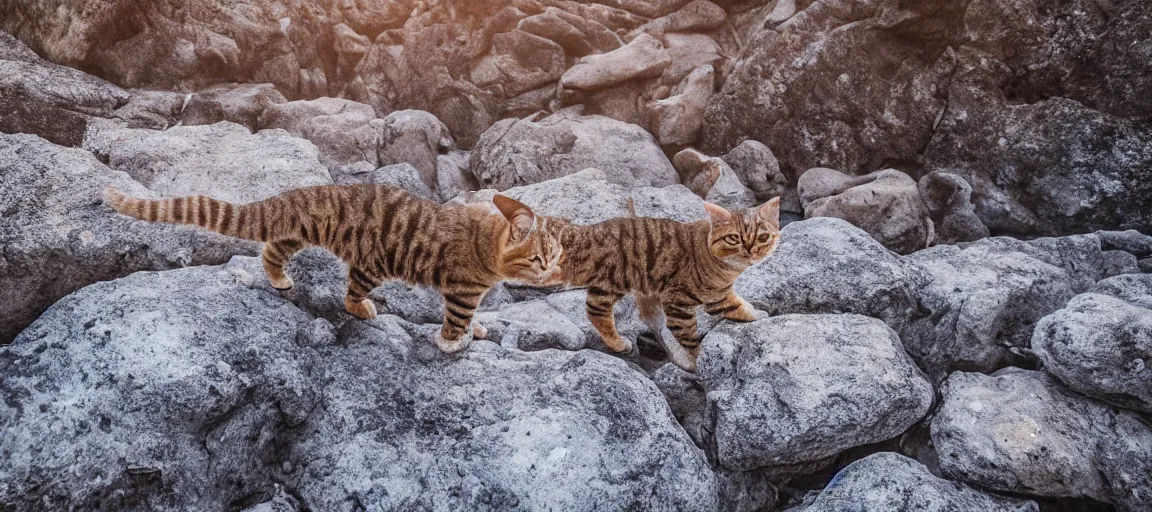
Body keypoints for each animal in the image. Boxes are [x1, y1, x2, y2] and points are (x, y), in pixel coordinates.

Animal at [105, 185, 564, 352]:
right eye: (538, 259)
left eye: (556, 256)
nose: (550, 275)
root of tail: (303, 193)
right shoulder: (462, 289)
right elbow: (456, 319)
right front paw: (452, 342)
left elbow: (470, 317)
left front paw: (476, 330)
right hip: (374, 261)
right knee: (350, 294)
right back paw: (362, 308)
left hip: (294, 233)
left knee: (271, 251)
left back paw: (279, 279)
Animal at [541, 198, 778, 369]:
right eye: (733, 238)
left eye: (763, 237)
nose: (750, 250)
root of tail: (585, 233)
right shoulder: (684, 301)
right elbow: (692, 336)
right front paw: (696, 362)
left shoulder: (718, 294)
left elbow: (739, 304)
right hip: (617, 279)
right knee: (597, 312)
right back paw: (620, 343)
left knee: (595, 310)